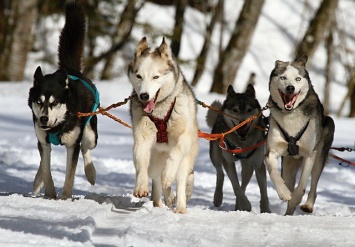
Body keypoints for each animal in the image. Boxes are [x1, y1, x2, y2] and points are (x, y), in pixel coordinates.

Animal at [27, 1, 98, 199]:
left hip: (91, 133)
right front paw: (50, 194)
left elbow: (70, 174)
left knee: (86, 147)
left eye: (54, 102)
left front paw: (65, 197)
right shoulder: (43, 141)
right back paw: (37, 181)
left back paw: (91, 173)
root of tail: (71, 69)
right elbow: (46, 168)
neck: (57, 126)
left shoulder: (72, 145)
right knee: (43, 161)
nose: (44, 118)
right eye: (39, 101)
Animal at [129, 37, 200, 214]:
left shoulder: (184, 137)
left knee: (180, 179)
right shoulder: (142, 138)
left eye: (156, 77)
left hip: (186, 160)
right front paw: (141, 186)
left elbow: (175, 152)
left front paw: (168, 174)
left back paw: (180, 207)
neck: (160, 111)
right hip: (154, 162)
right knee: (157, 180)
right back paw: (163, 199)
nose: (144, 95)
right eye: (139, 76)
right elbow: (141, 162)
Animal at [207, 84, 272, 212]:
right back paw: (218, 198)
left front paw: (266, 210)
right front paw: (246, 204)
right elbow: (235, 186)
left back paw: (238, 206)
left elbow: (263, 192)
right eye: (235, 110)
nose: (243, 122)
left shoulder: (258, 164)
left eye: (249, 110)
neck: (242, 144)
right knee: (220, 174)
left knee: (244, 183)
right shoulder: (228, 162)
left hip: (248, 166)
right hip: (216, 156)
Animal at [266, 55, 336, 215]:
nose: (290, 88)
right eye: (283, 77)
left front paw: (296, 198)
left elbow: (302, 184)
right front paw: (283, 192)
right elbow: (273, 172)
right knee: (288, 181)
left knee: (314, 184)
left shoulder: (309, 154)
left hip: (320, 155)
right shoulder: (272, 151)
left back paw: (308, 205)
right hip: (288, 165)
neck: (291, 115)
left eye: (298, 79)